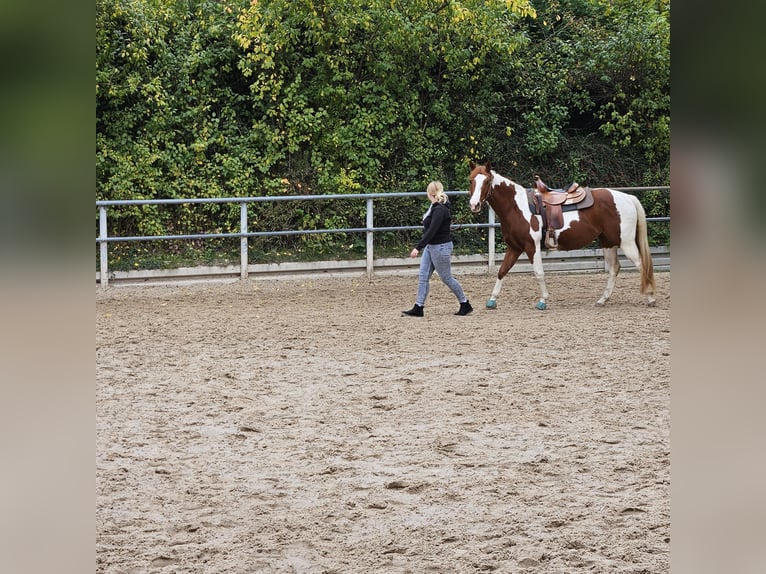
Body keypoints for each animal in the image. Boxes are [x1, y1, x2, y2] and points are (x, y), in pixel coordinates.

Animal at [467, 161, 656, 309]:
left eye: (486, 181)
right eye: (471, 180)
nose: (474, 204)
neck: (517, 207)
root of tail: (628, 197)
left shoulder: (531, 247)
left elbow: (538, 272)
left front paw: (543, 301)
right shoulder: (514, 248)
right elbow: (502, 271)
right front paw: (492, 300)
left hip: (626, 243)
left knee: (641, 265)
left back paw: (650, 297)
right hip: (608, 242)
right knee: (614, 269)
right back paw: (603, 300)